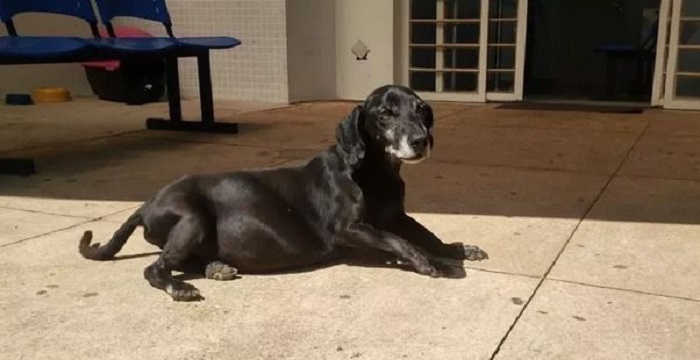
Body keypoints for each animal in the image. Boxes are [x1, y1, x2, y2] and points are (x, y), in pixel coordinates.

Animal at [79, 85, 490, 300]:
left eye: (420, 109)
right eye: (385, 113)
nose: (420, 141)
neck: (374, 172)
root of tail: (147, 202)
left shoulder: (397, 215)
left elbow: (425, 233)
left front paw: (455, 248)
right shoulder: (348, 228)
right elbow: (399, 241)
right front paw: (432, 262)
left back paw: (214, 267)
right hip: (191, 217)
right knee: (155, 267)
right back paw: (178, 287)